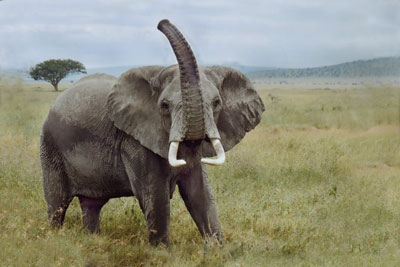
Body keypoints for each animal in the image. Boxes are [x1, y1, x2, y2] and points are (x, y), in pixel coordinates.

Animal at [40, 19, 264, 247]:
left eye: (217, 103)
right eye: (164, 106)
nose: (161, 23)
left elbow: (199, 193)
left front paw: (217, 251)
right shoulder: (133, 141)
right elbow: (155, 197)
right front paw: (162, 252)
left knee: (91, 204)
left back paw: (91, 239)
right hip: (50, 145)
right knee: (57, 202)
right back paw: (53, 238)